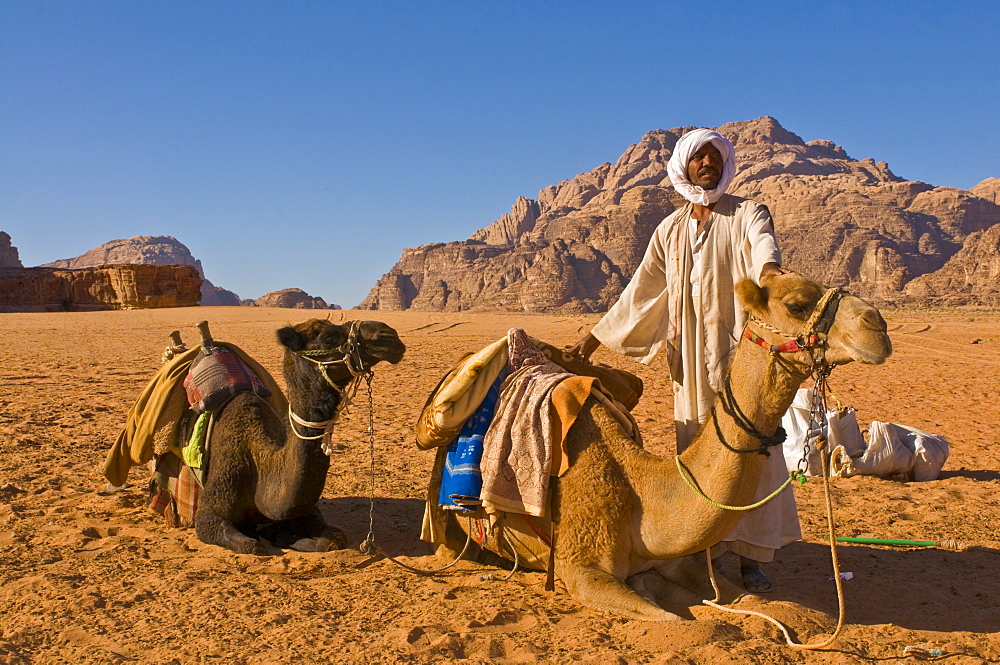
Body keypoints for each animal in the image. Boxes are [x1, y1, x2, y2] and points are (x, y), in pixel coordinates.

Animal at [197, 320, 404, 552]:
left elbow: (333, 539)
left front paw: (287, 537)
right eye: (329, 337)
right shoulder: (208, 514)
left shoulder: (307, 510)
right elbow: (252, 546)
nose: (388, 334)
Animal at [438, 270, 892, 616]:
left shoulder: (674, 561)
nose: (877, 325)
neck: (642, 490)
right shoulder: (582, 570)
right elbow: (679, 621)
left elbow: (739, 599)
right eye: (797, 304)